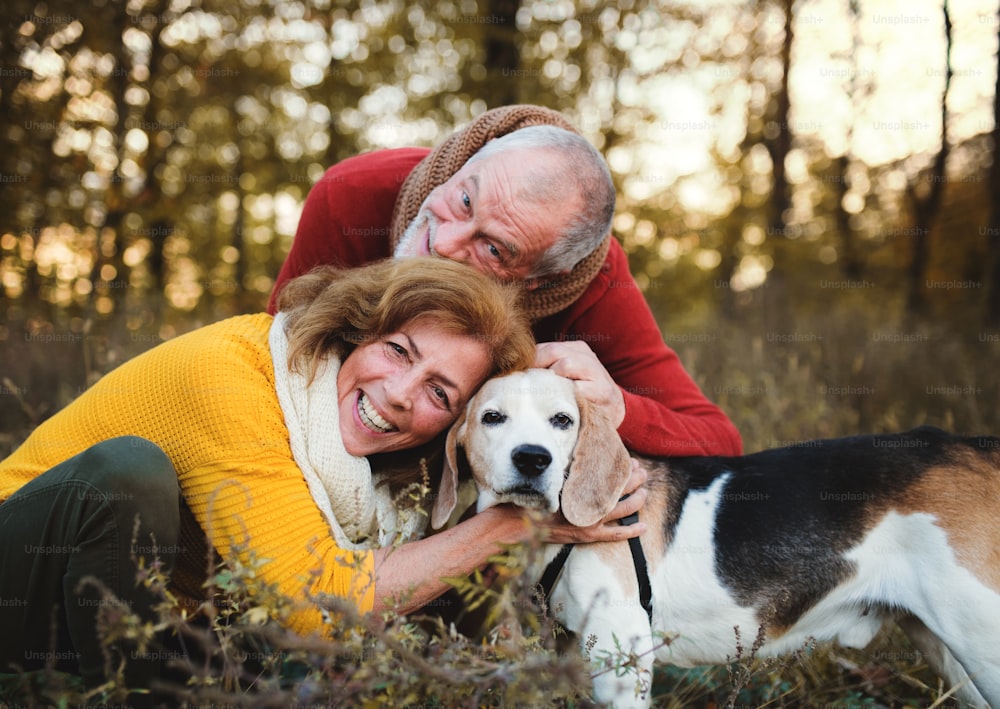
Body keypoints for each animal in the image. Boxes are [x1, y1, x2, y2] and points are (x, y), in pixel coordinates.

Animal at [434, 368, 1000, 704]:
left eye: (562, 421)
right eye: (492, 417)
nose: (533, 459)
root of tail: (971, 446)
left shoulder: (621, 658)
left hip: (981, 640)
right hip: (951, 655)